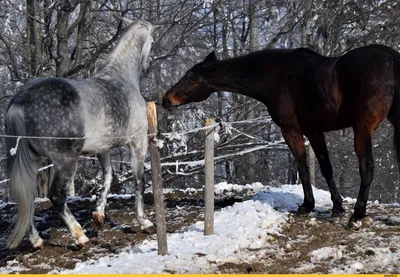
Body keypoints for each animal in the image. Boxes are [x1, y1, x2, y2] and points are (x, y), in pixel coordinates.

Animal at [6, 20, 156, 248]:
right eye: (152, 41)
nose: (147, 66)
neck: (121, 80)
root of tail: (19, 101)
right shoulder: (138, 142)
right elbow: (139, 181)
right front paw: (145, 222)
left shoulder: (103, 149)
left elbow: (108, 177)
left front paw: (98, 216)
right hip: (66, 161)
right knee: (57, 196)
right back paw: (80, 236)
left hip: (32, 159)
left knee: (27, 196)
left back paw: (37, 240)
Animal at [161, 44, 400, 227]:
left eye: (192, 79)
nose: (166, 99)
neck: (276, 75)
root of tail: (391, 58)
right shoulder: (314, 131)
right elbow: (326, 168)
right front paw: (337, 206)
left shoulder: (291, 131)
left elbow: (302, 167)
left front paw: (307, 206)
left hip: (362, 129)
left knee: (367, 167)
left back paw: (357, 216)